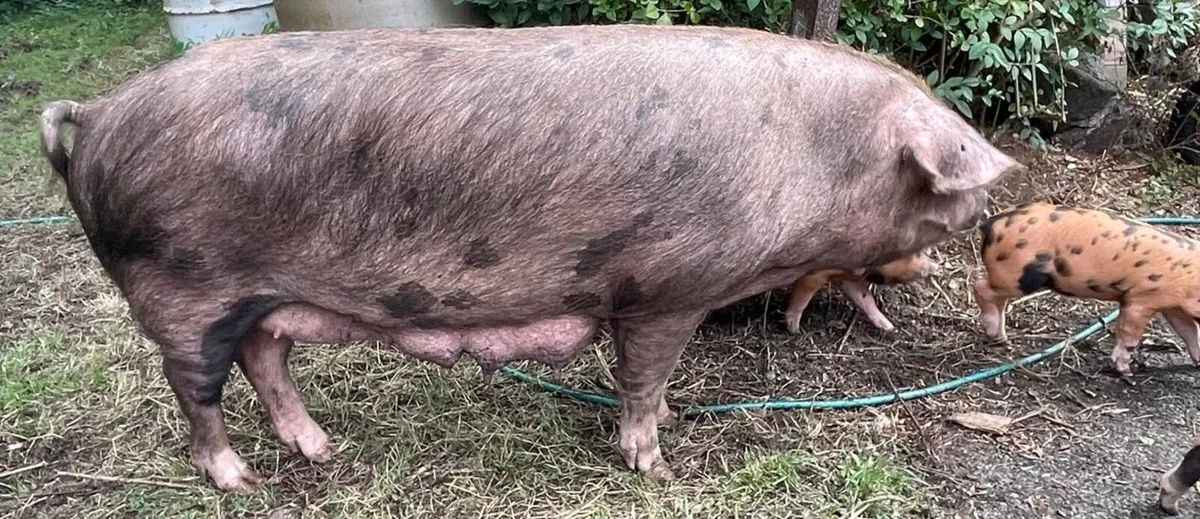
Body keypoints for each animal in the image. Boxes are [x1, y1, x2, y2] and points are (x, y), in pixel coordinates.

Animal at [784, 249, 941, 333]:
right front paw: (795, 330)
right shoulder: (815, 274)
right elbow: (803, 298)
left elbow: (865, 298)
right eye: (916, 254)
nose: (936, 266)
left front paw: (889, 328)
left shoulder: (848, 278)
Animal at [973, 201, 1200, 377]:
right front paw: (1126, 372)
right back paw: (992, 329)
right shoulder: (1140, 299)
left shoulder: (1172, 305)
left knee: (998, 299)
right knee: (980, 286)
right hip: (1018, 274)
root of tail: (991, 223)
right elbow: (1129, 333)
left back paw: (1002, 338)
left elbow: (1189, 331)